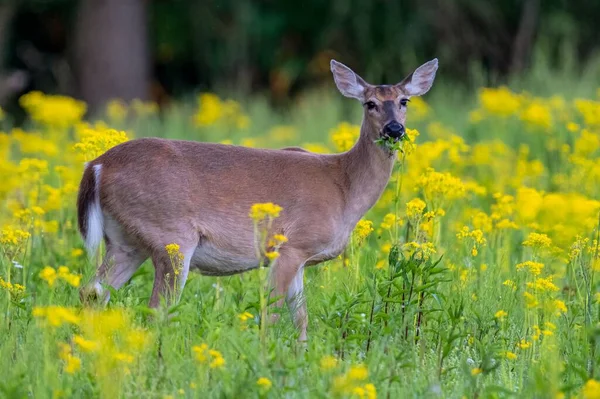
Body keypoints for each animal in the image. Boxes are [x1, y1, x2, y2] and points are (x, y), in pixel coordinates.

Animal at [77, 57, 438, 342]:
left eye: (405, 101)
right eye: (370, 103)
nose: (394, 130)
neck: (343, 187)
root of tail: (97, 165)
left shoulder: (301, 259)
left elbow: (301, 319)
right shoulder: (290, 246)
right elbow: (275, 315)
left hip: (126, 242)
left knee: (92, 293)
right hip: (171, 237)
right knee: (155, 308)